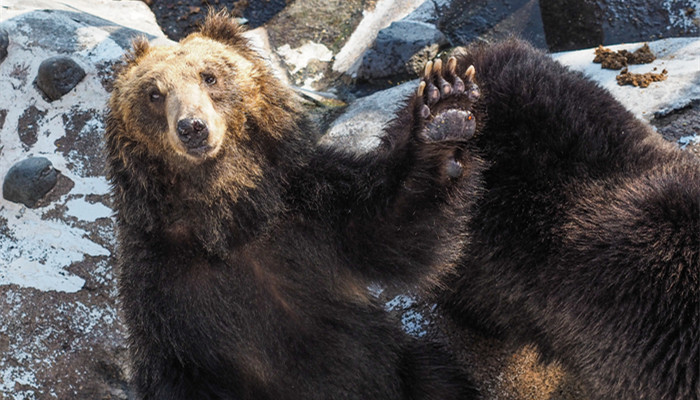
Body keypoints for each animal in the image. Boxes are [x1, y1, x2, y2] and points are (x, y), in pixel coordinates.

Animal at [105, 10, 486, 398]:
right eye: (154, 93)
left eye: (208, 76)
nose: (192, 127)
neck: (229, 216)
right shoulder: (161, 286)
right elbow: (175, 368)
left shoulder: (312, 206)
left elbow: (392, 228)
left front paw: (445, 107)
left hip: (403, 367)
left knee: (435, 376)